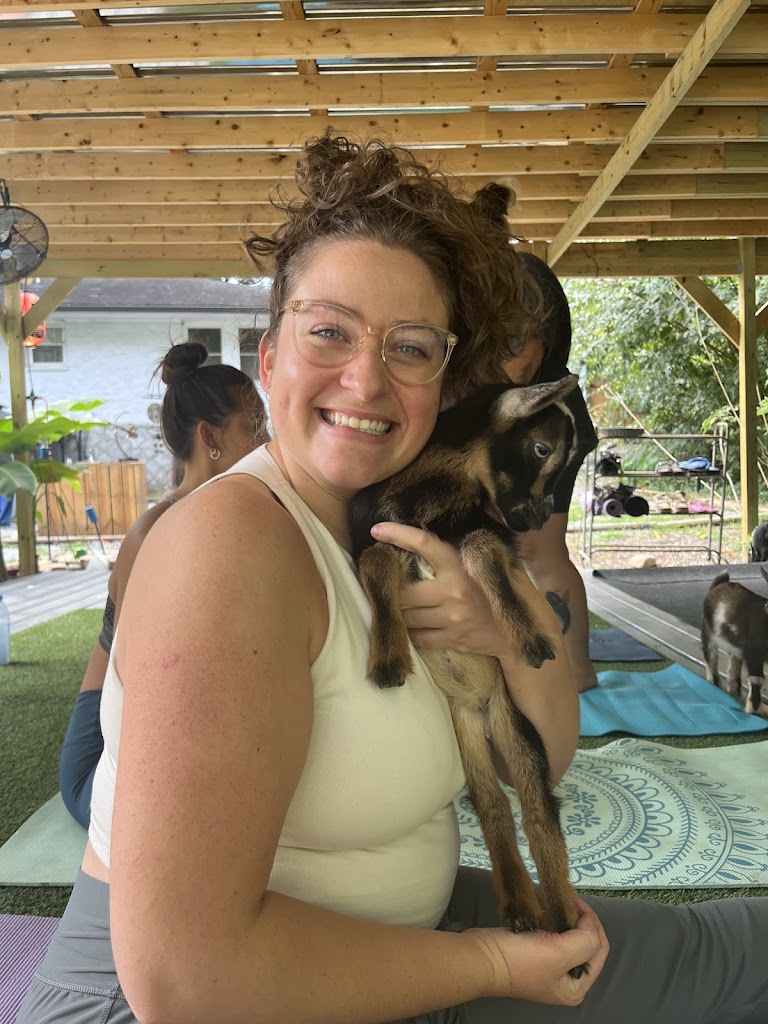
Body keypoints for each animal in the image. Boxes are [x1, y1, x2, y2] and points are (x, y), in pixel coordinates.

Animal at [349, 376, 587, 973]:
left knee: (538, 812)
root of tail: (480, 710)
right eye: (542, 448)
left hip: (515, 729)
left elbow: (482, 552)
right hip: (468, 739)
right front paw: (388, 657)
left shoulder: (476, 532)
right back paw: (521, 906)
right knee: (493, 804)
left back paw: (563, 931)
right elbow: (376, 565)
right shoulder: (378, 533)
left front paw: (527, 637)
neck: (431, 494)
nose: (535, 520)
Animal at [701, 567, 768, 715]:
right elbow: (757, 679)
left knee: (733, 665)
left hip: (734, 646)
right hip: (708, 631)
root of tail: (719, 584)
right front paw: (753, 710)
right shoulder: (753, 652)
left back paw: (733, 691)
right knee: (711, 658)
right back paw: (714, 684)